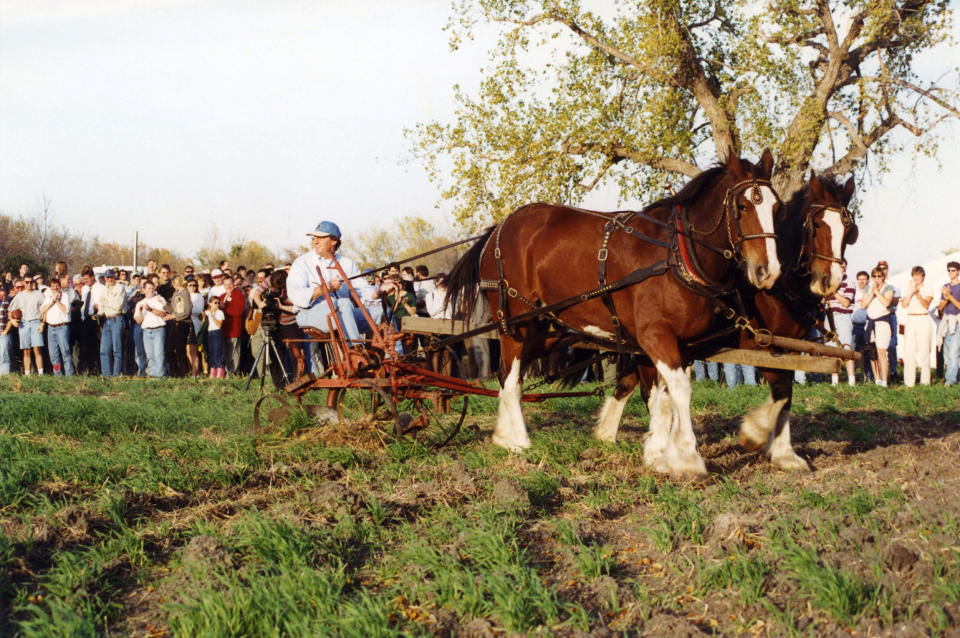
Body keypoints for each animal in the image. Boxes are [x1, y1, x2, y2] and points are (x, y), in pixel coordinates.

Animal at [448, 151, 780, 480]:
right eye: (742, 206)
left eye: (776, 206)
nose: (769, 271)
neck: (677, 255)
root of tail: (499, 228)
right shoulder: (655, 336)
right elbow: (680, 391)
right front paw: (687, 459)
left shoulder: (678, 346)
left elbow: (660, 397)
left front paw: (658, 454)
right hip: (517, 323)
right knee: (512, 378)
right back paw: (519, 441)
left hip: (544, 330)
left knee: (505, 373)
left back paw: (503, 436)